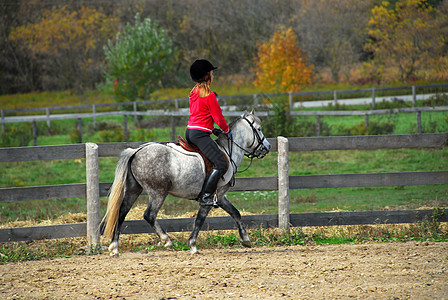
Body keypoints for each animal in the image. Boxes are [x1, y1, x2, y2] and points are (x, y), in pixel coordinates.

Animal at [101, 110, 270, 255]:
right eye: (259, 129)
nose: (267, 147)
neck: (228, 151)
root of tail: (136, 151)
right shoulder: (210, 197)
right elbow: (200, 220)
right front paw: (193, 245)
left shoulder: (220, 196)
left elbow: (236, 213)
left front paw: (245, 239)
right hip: (158, 192)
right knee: (149, 215)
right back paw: (167, 241)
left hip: (133, 190)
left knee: (121, 212)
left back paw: (114, 247)